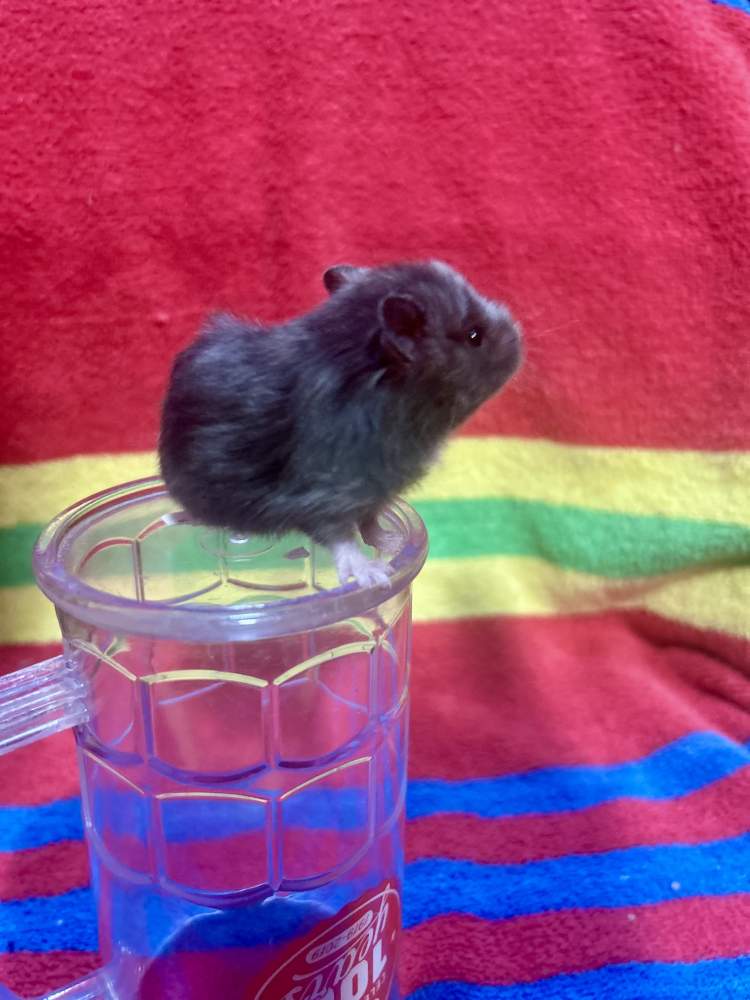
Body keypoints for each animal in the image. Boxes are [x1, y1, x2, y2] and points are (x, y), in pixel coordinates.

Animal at [159, 261, 522, 587]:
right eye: (474, 335)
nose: (519, 335)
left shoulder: (376, 490)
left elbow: (371, 523)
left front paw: (397, 544)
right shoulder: (327, 494)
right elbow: (340, 537)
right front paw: (374, 576)